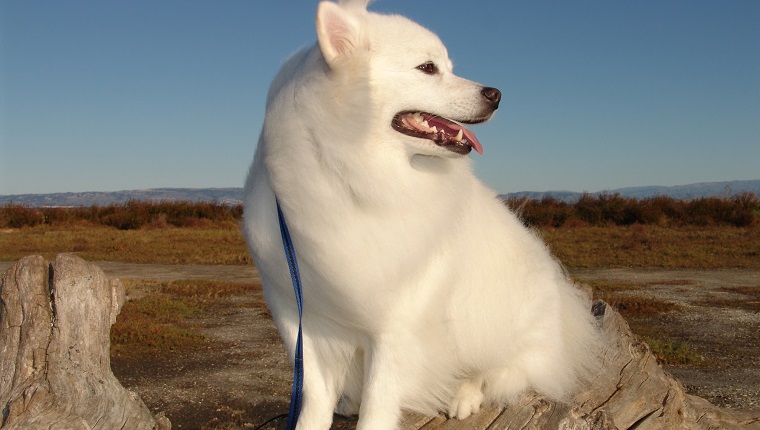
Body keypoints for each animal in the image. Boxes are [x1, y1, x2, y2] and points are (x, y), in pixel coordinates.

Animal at [243, 1, 600, 428]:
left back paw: (464, 396)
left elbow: (379, 405)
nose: (496, 94)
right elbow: (314, 397)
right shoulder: (299, 316)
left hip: (493, 321)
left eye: (447, 65)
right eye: (428, 68)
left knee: (500, 371)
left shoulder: (394, 326)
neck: (347, 174)